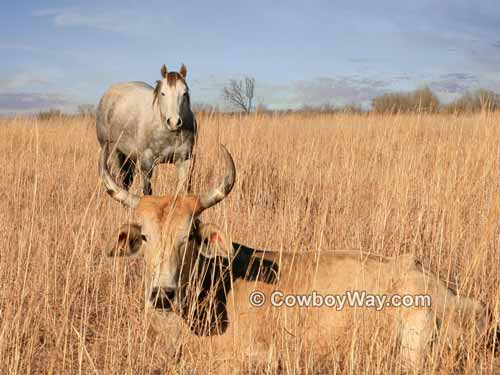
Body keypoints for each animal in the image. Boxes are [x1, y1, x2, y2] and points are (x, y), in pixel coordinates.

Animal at [94, 63, 196, 195]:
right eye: (163, 93)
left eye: (184, 93)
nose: (174, 122)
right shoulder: (146, 164)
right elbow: (147, 190)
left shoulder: (185, 161)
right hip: (113, 153)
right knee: (118, 179)